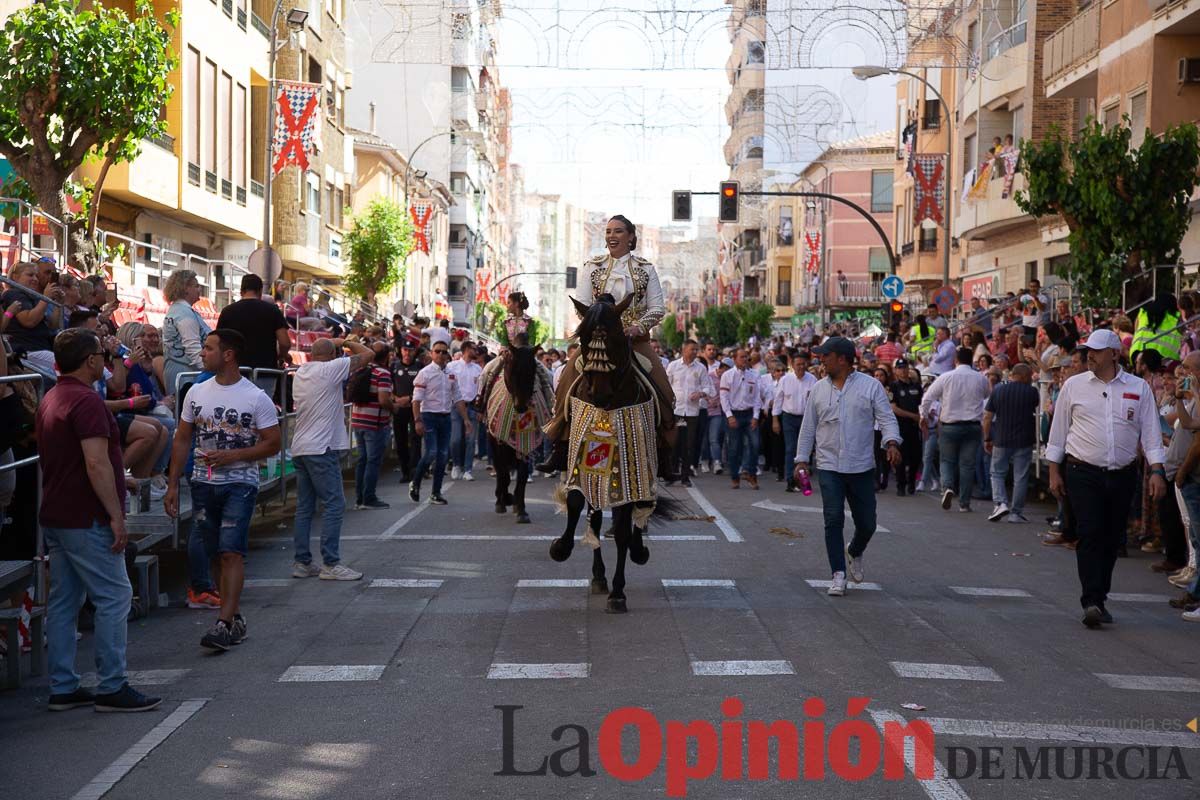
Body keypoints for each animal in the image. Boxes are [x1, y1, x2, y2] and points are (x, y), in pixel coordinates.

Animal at [477, 345, 552, 525]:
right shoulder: (498, 441)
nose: (521, 406)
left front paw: (521, 509)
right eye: (512, 371)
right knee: (500, 469)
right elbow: (503, 472)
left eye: (532, 371)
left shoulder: (527, 444)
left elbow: (522, 475)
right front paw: (504, 500)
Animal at [549, 292, 672, 614]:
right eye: (583, 338)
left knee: (639, 510)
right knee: (595, 517)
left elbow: (622, 529)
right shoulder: (580, 459)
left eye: (617, 337)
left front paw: (618, 592)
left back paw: (637, 553)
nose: (600, 395)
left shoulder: (630, 465)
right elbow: (577, 504)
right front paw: (561, 548)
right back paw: (598, 576)